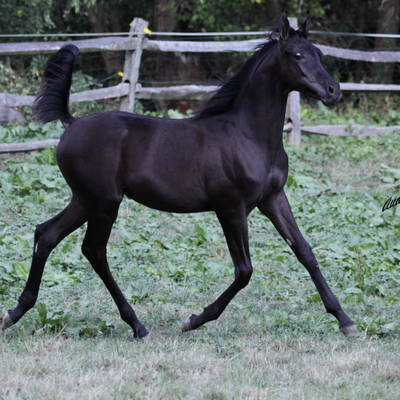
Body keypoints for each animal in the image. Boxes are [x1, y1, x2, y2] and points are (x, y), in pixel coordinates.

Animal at [1, 14, 359, 338]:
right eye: (296, 55)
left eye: (319, 53)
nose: (333, 90)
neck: (247, 135)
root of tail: (72, 122)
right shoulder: (230, 208)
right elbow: (244, 271)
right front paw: (194, 320)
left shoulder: (273, 199)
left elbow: (305, 252)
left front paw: (345, 320)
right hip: (103, 203)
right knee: (94, 250)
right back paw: (136, 325)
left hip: (85, 200)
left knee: (47, 234)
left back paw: (16, 312)